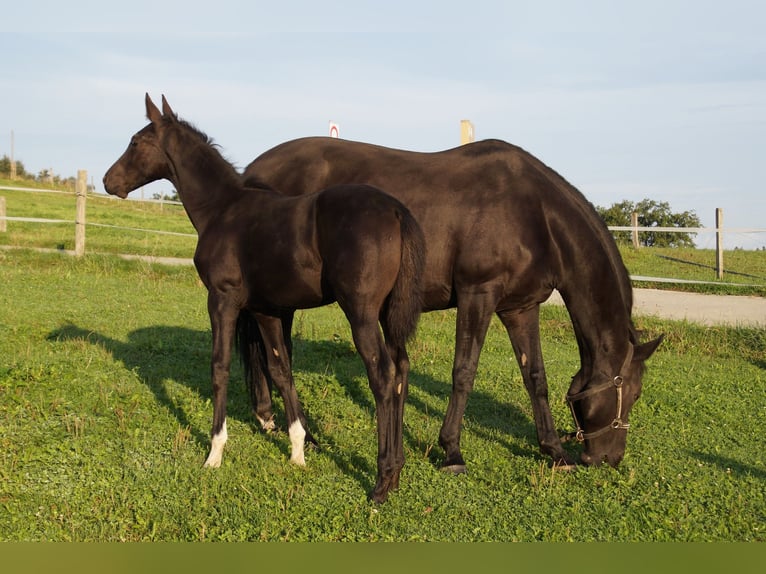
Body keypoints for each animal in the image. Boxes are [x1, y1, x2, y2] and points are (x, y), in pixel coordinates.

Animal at [102, 95, 426, 504]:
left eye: (135, 142)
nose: (108, 181)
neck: (222, 209)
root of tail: (395, 210)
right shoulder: (266, 310)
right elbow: (280, 369)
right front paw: (298, 450)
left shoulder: (222, 300)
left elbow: (220, 366)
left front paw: (214, 452)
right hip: (387, 314)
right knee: (400, 371)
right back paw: (397, 471)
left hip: (361, 313)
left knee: (382, 376)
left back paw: (382, 481)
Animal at [246, 136, 664, 472]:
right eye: (633, 394)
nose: (609, 458)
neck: (534, 214)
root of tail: (252, 171)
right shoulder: (478, 294)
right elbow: (464, 372)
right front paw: (452, 451)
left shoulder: (521, 308)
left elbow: (535, 377)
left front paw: (555, 451)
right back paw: (295, 431)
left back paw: (271, 419)